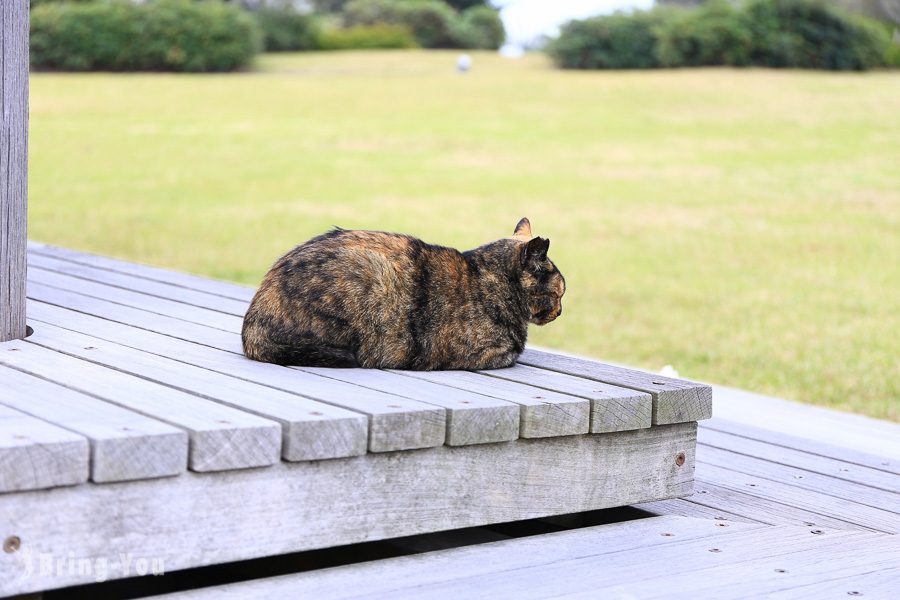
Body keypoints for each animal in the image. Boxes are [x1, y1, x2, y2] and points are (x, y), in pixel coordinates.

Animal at [239, 219, 564, 370]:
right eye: (561, 293)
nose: (560, 311)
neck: (488, 277)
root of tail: (251, 325)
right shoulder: (489, 354)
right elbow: (511, 354)